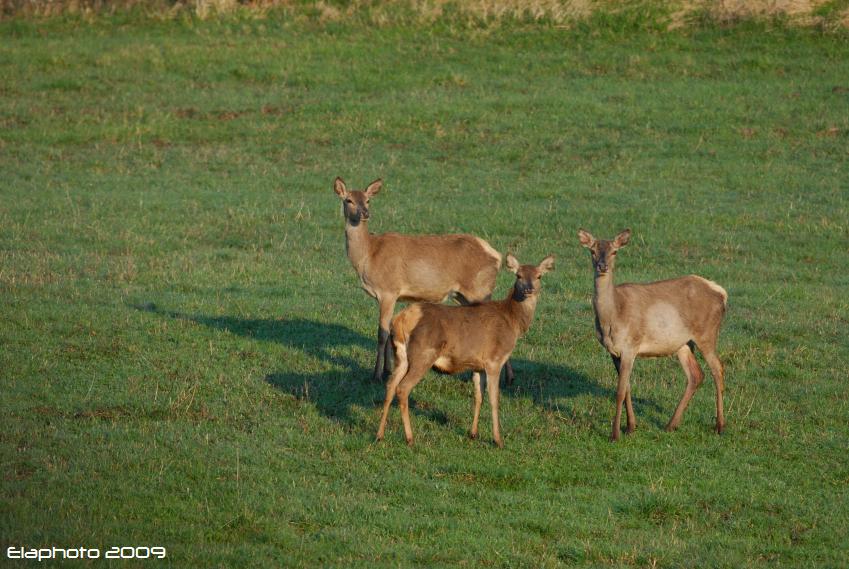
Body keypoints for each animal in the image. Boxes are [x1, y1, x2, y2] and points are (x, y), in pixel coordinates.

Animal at [334, 175, 512, 384]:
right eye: (349, 200)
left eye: (368, 200)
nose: (365, 213)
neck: (369, 255)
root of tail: (497, 256)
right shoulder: (390, 296)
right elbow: (389, 332)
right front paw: (387, 371)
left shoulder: (388, 290)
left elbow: (382, 333)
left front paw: (376, 375)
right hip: (462, 296)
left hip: (480, 289)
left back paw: (507, 378)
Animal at [374, 254, 552, 448]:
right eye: (518, 275)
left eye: (539, 276)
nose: (529, 289)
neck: (513, 322)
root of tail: (402, 319)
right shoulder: (494, 360)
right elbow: (494, 399)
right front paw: (498, 439)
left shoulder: (478, 365)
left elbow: (478, 396)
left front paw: (473, 433)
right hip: (423, 354)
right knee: (403, 388)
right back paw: (409, 437)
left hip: (401, 356)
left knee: (390, 385)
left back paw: (379, 434)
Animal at [576, 229, 728, 442]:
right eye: (592, 250)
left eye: (614, 251)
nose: (602, 266)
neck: (612, 317)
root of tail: (721, 293)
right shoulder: (614, 352)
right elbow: (627, 388)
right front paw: (630, 427)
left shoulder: (630, 346)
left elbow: (619, 391)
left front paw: (615, 434)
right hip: (683, 343)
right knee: (696, 374)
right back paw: (671, 424)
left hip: (707, 334)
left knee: (718, 369)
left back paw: (720, 426)